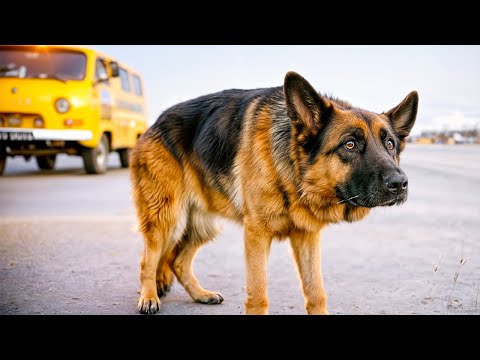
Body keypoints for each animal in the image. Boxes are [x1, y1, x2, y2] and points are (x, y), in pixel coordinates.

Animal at [130, 72, 416, 316]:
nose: (401, 183)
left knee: (177, 260)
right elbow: (258, 295)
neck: (293, 174)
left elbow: (316, 292)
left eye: (390, 144)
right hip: (167, 218)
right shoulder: (256, 235)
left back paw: (200, 294)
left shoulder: (306, 236)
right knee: (148, 259)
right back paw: (149, 297)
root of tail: (155, 123)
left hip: (202, 224)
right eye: (350, 144)